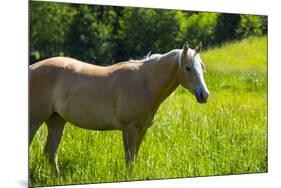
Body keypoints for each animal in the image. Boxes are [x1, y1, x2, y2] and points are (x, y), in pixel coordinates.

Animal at [29, 41, 208, 173]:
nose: (204, 95)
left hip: (56, 121)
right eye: (188, 68)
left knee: (50, 153)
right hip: (34, 121)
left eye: (202, 66)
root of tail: (31, 68)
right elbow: (129, 160)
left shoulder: (142, 129)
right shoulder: (129, 129)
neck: (144, 83)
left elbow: (134, 158)